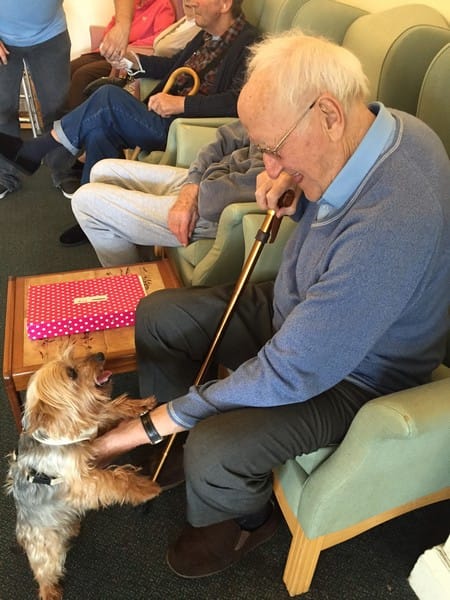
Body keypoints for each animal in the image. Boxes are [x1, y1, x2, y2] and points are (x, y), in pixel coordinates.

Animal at [6, 346, 160, 600]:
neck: (56, 434)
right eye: (72, 373)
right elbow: (114, 480)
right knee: (45, 569)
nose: (100, 355)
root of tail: (23, 531)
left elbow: (107, 411)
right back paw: (49, 591)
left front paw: (139, 405)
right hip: (45, 546)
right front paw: (144, 488)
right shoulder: (80, 481)